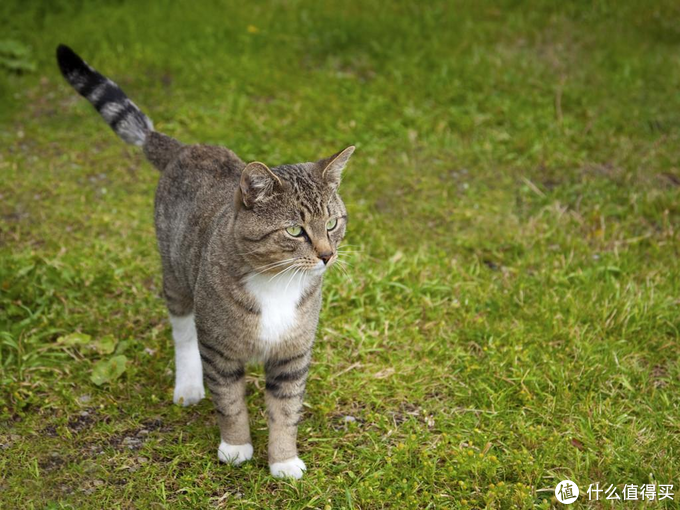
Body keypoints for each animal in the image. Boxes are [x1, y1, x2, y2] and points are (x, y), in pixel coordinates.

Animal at [55, 43, 354, 478]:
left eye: (332, 223)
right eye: (295, 231)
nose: (327, 256)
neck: (276, 283)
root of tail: (185, 148)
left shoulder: (293, 354)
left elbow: (285, 410)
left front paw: (283, 460)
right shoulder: (219, 348)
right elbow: (229, 402)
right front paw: (235, 446)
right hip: (177, 276)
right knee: (182, 330)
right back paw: (189, 385)